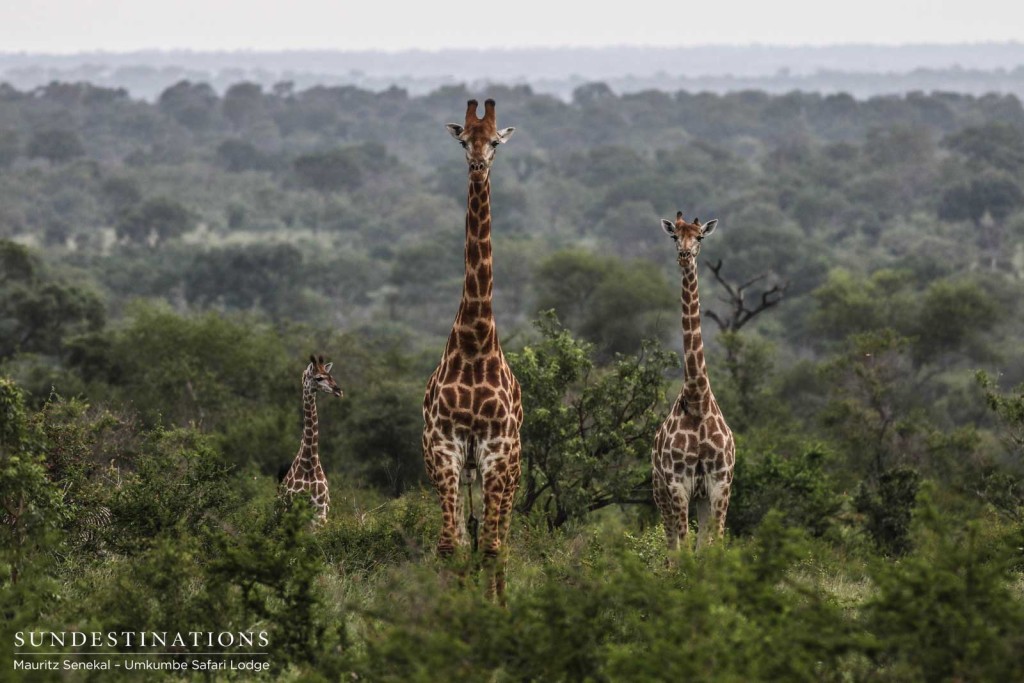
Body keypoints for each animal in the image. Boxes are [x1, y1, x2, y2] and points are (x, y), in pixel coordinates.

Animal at [280, 358, 344, 524]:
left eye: (330, 375)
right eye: (319, 378)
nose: (338, 390)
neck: (309, 463)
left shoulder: (321, 512)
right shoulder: (293, 512)